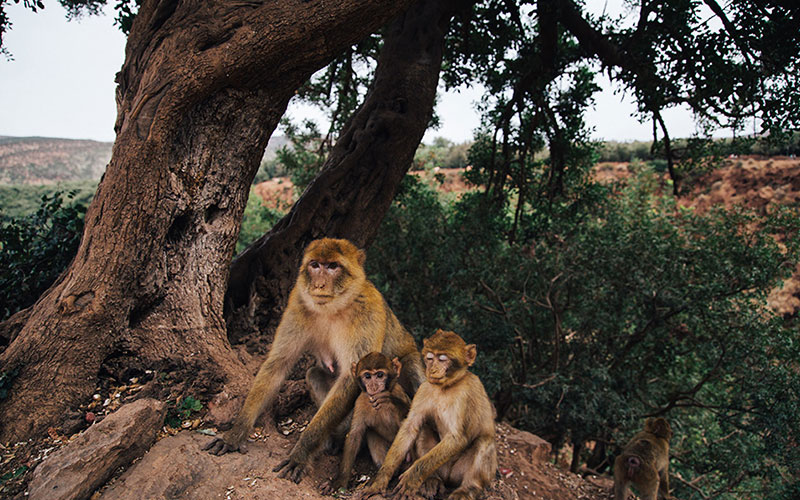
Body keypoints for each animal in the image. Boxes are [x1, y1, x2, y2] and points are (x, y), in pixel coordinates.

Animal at [318, 352, 410, 496]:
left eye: (380, 375)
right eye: (367, 376)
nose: (373, 386)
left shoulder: (398, 391)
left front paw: (390, 400)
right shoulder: (361, 401)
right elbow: (354, 436)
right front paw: (339, 482)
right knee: (371, 432)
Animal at [354, 328, 494, 500]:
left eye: (442, 359)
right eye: (430, 358)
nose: (431, 369)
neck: (445, 388)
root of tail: (448, 478)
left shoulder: (465, 394)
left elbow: (457, 438)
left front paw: (412, 477)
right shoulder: (424, 389)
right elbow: (410, 427)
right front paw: (381, 479)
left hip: (459, 472)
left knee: (484, 442)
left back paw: (468, 488)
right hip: (440, 468)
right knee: (423, 428)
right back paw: (432, 481)